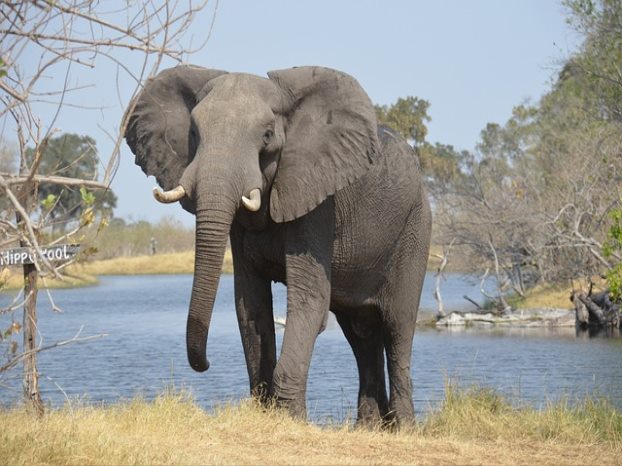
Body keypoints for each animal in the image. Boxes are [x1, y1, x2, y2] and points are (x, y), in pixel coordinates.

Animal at [124, 65, 432, 426]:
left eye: (268, 135)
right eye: (194, 134)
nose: (205, 364)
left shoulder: (316, 200)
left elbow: (309, 301)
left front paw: (293, 419)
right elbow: (250, 304)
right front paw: (265, 411)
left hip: (416, 228)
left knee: (398, 326)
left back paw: (403, 428)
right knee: (361, 333)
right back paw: (369, 428)